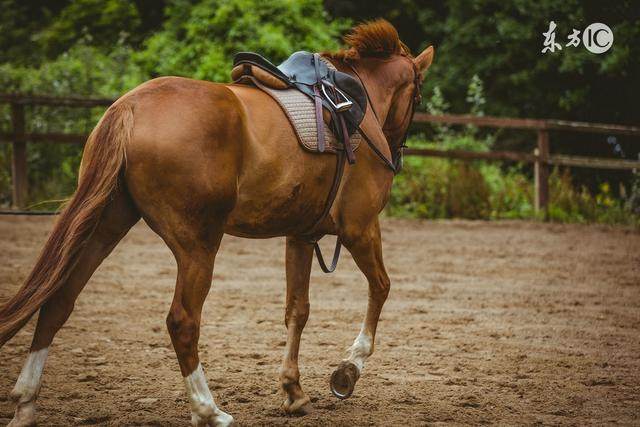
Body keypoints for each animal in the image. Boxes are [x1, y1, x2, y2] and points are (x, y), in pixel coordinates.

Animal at [1, 19, 436, 424]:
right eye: (417, 95)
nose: (396, 153)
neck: (356, 107)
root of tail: (131, 107)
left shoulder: (300, 235)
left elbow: (298, 310)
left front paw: (293, 390)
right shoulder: (360, 227)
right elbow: (381, 288)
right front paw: (347, 370)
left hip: (106, 225)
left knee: (58, 300)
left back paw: (26, 403)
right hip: (198, 245)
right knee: (183, 321)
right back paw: (208, 410)